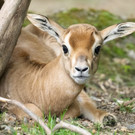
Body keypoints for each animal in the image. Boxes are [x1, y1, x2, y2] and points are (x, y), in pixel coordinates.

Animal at [0, 13, 135, 126]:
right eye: (65, 47)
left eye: (97, 48)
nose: (81, 69)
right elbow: (35, 111)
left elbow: (77, 107)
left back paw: (107, 118)